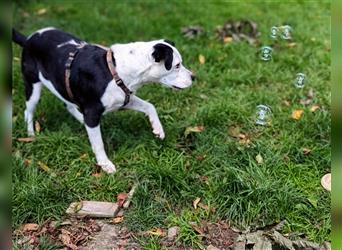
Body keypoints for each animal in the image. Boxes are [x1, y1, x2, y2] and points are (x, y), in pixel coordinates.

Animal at [12, 26, 195, 172]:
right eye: (177, 65)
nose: (194, 77)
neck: (117, 71)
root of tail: (28, 39)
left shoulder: (124, 99)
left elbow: (150, 106)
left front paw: (158, 129)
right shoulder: (93, 111)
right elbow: (98, 144)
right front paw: (105, 164)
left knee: (69, 105)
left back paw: (81, 120)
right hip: (32, 85)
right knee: (28, 111)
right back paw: (31, 134)